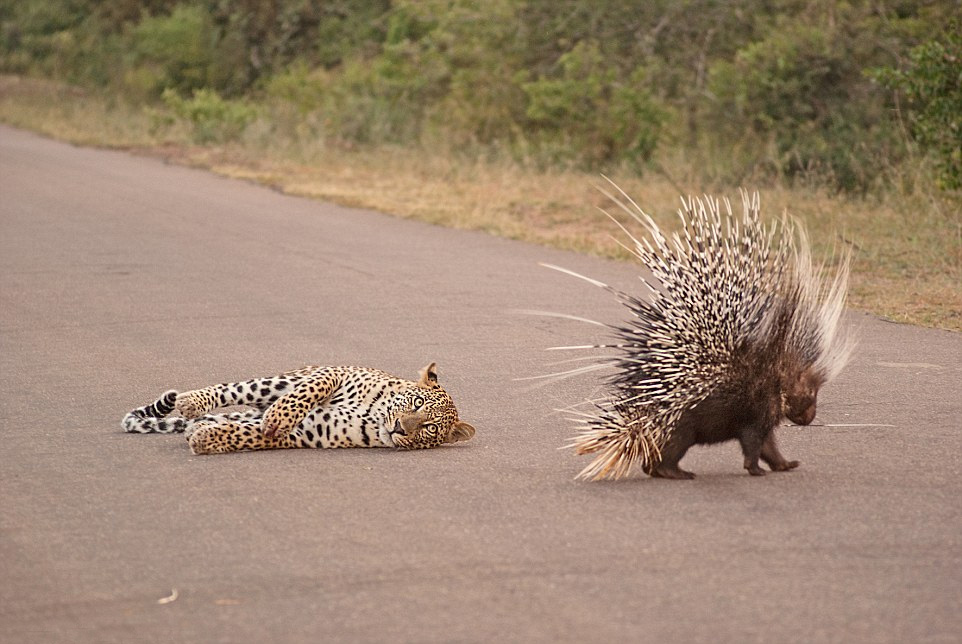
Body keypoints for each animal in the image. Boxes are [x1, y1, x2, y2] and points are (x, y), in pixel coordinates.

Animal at [122, 362, 474, 452]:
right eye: (416, 402)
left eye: (429, 427)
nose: (400, 427)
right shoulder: (335, 372)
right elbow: (307, 393)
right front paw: (280, 415)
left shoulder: (311, 432)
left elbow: (251, 435)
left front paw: (207, 439)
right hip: (277, 381)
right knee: (233, 390)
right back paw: (191, 402)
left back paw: (202, 425)